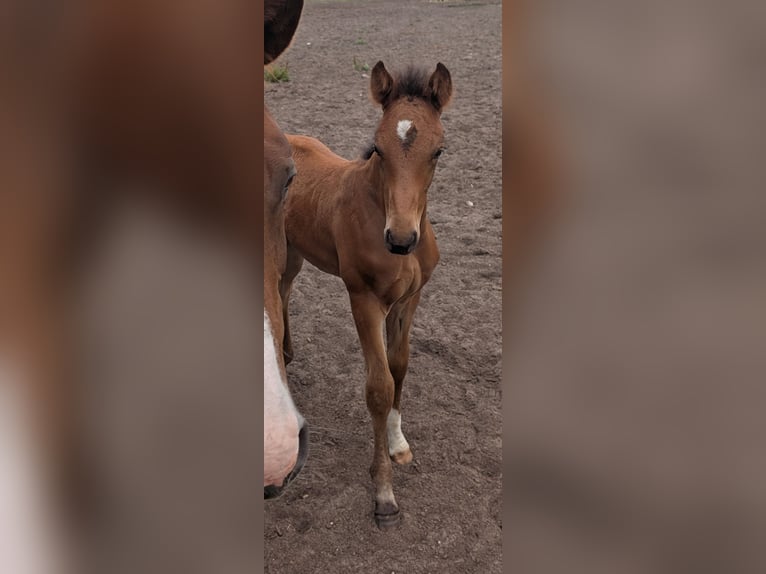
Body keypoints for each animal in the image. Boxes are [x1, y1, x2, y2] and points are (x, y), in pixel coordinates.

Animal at [280, 61, 453, 529]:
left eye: (438, 151)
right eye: (377, 148)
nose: (401, 240)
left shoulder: (409, 300)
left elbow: (399, 367)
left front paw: (398, 444)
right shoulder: (363, 299)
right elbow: (378, 386)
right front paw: (384, 495)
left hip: (294, 251)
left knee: (282, 290)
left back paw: (285, 353)